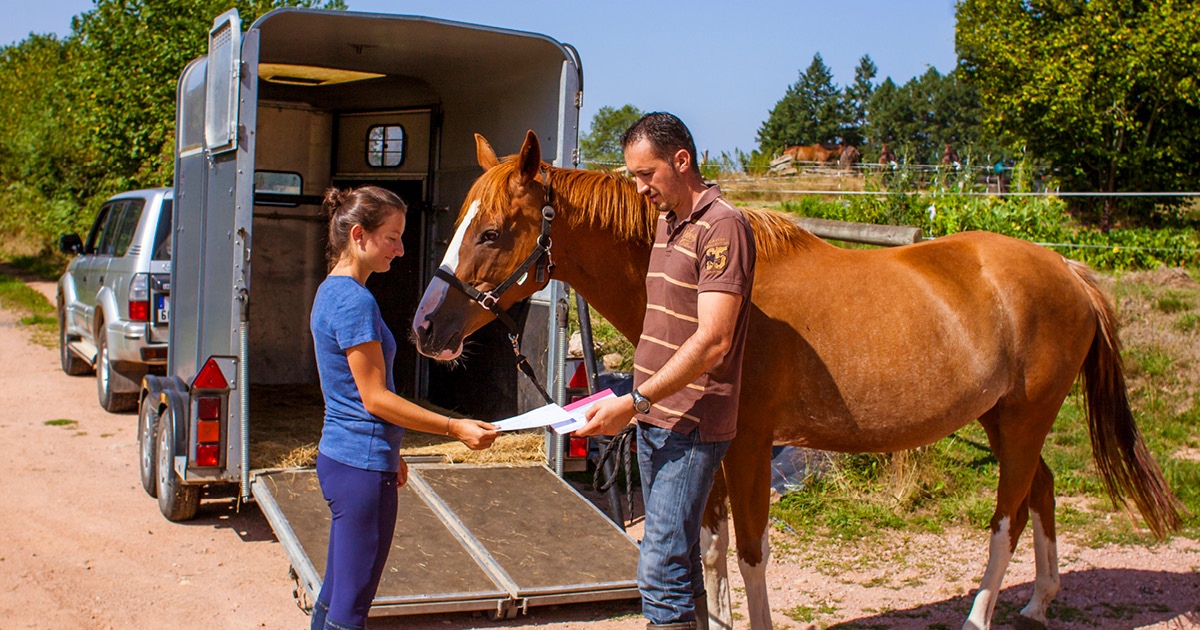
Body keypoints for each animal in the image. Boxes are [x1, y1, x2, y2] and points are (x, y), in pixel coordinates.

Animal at [412, 131, 1180, 628]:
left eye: (491, 232)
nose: (424, 329)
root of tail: (1065, 268)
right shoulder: (711, 449)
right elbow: (710, 550)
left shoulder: (750, 447)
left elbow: (751, 553)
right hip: (1007, 419)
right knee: (1041, 491)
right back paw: (1040, 601)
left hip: (1021, 420)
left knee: (1006, 518)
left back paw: (982, 614)